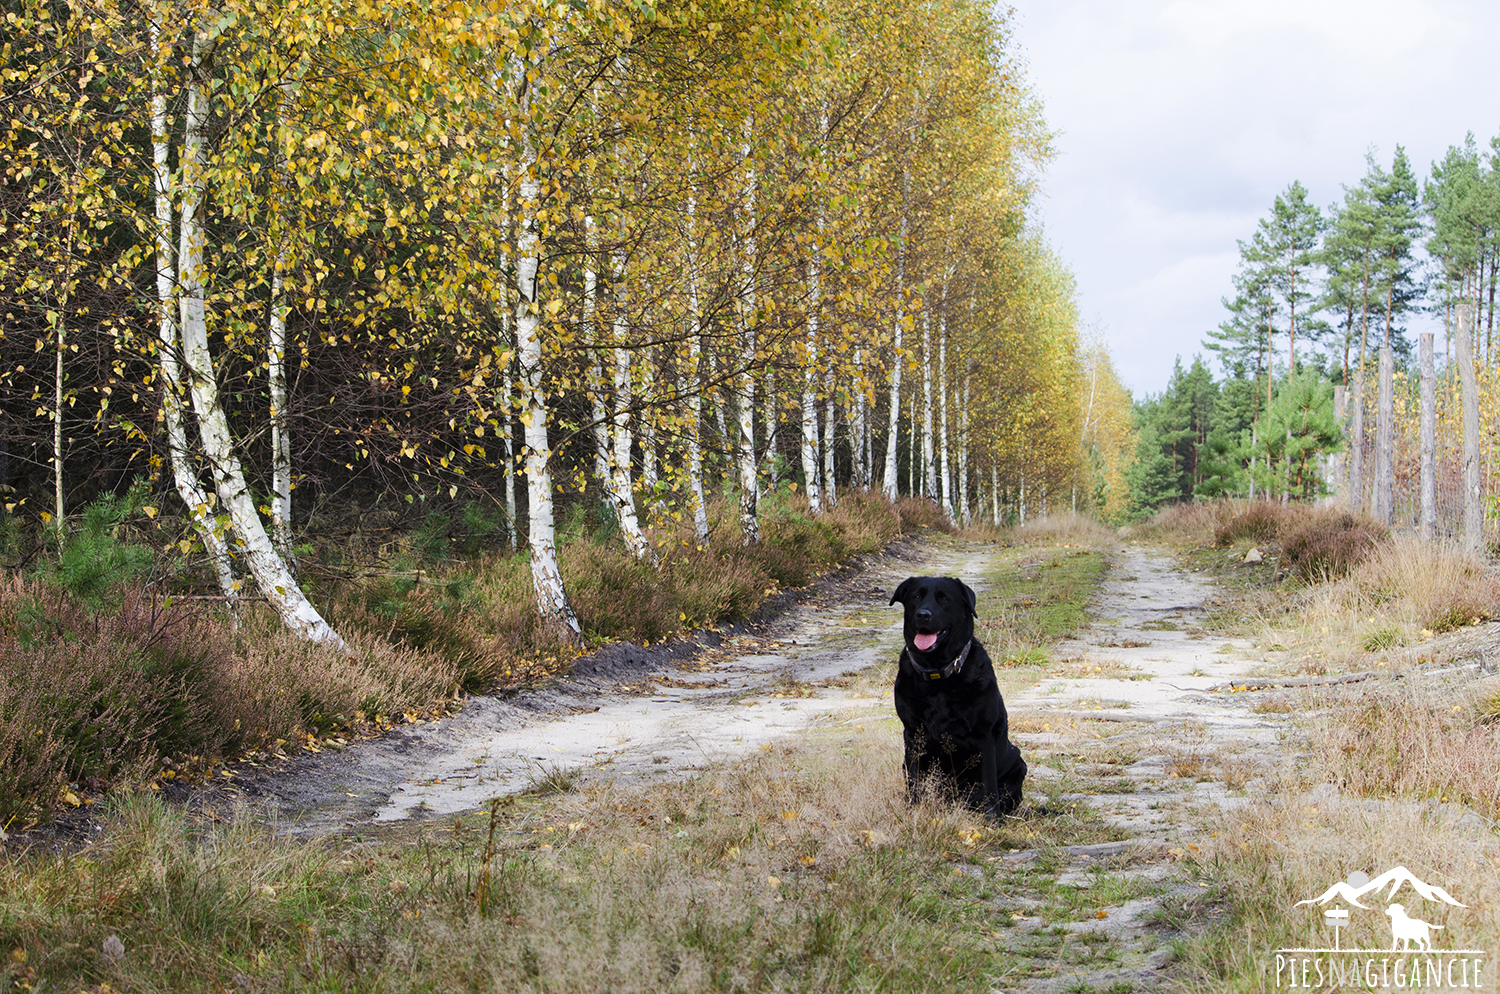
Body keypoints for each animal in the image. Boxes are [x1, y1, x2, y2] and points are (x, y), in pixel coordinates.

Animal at [894, 575, 1026, 815]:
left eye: (944, 599)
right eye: (916, 597)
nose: (923, 614)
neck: (938, 674)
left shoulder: (984, 735)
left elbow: (989, 785)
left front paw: (993, 819)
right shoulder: (913, 734)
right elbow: (914, 780)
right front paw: (913, 810)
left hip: (1018, 762)